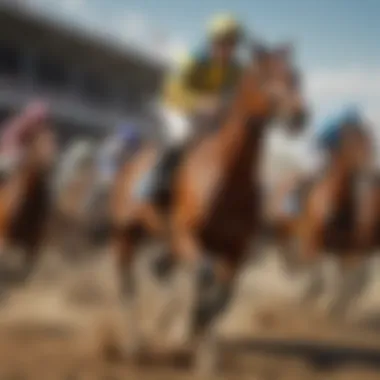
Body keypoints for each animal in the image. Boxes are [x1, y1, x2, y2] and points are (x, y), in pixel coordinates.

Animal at [107, 43, 308, 372]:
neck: (229, 174)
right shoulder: (187, 236)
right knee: (128, 284)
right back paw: (134, 344)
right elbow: (204, 278)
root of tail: (127, 164)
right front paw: (193, 335)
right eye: (265, 75)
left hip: (163, 239)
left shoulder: (235, 251)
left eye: (296, 76)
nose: (300, 115)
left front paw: (203, 353)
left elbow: (222, 297)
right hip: (126, 232)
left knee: (160, 269)